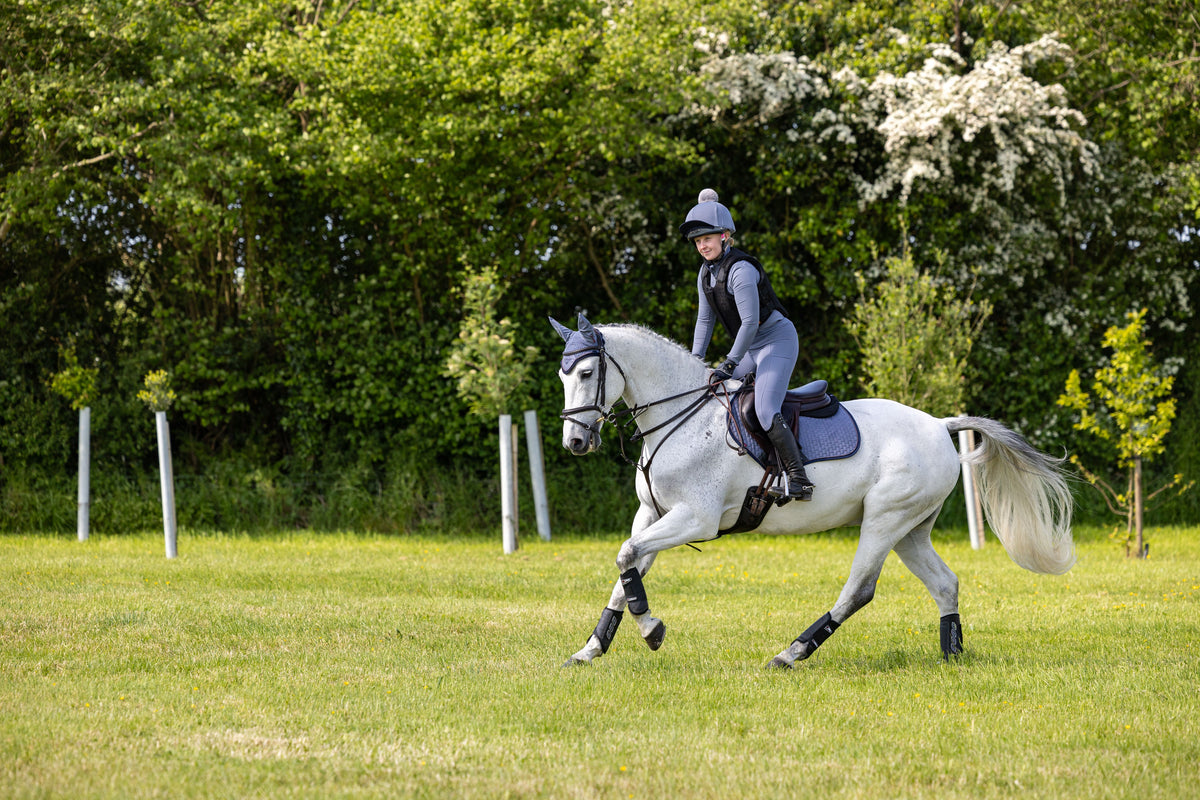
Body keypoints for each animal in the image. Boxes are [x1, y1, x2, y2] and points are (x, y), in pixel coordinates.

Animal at [552, 311, 1080, 671]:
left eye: (586, 373)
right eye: (562, 374)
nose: (575, 442)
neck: (681, 416)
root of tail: (938, 423)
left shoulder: (693, 519)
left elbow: (626, 557)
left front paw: (652, 631)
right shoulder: (653, 514)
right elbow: (625, 571)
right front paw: (590, 649)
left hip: (884, 520)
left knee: (859, 590)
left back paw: (791, 653)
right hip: (911, 530)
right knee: (945, 583)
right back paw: (952, 654)